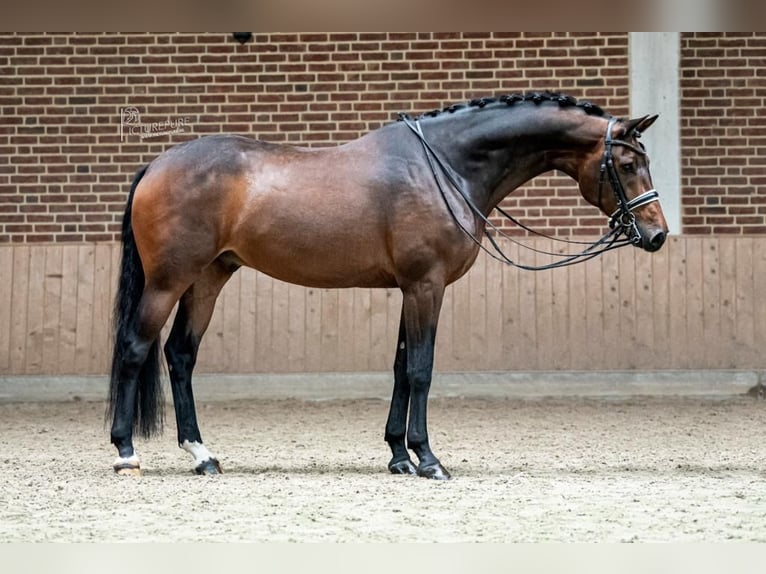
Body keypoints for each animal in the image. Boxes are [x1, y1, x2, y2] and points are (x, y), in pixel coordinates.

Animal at [106, 93, 664, 482]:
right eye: (628, 164)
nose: (656, 234)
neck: (446, 167)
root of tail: (157, 164)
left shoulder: (409, 288)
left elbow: (400, 367)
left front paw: (399, 456)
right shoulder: (426, 286)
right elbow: (420, 369)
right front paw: (429, 459)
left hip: (209, 277)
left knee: (181, 355)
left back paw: (203, 455)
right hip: (168, 281)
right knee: (135, 348)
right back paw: (126, 454)